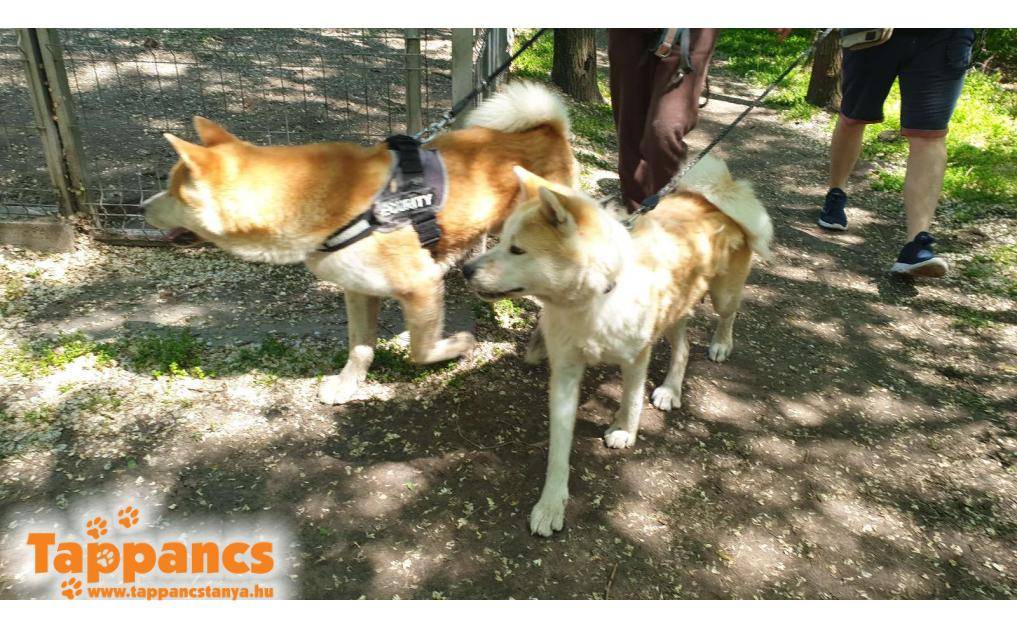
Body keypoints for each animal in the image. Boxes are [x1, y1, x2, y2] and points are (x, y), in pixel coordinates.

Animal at [143, 82, 574, 404]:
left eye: (172, 190)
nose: (143, 207)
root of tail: (545, 129)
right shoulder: (358, 290)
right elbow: (360, 346)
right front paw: (349, 383)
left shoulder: (420, 286)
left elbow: (420, 350)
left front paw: (460, 343)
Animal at [463, 156, 773, 536]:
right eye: (500, 240)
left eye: (517, 249)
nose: (465, 269)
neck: (595, 297)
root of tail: (712, 198)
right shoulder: (565, 373)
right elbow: (559, 448)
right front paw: (551, 504)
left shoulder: (635, 357)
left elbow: (631, 399)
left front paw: (624, 430)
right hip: (674, 311)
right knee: (683, 348)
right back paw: (670, 389)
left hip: (722, 295)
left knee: (727, 317)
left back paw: (720, 345)